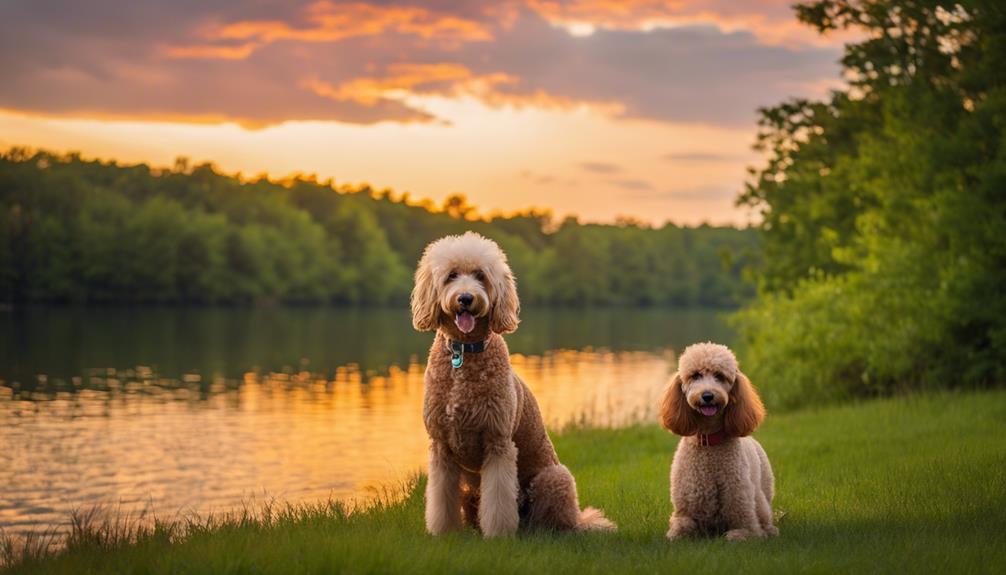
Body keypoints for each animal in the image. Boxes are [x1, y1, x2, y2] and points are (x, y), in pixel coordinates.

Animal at [408, 231, 611, 538]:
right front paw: (444, 532)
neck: (465, 352)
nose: (465, 298)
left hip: (556, 478)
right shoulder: (442, 447)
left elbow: (499, 500)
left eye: (480, 275)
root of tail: (579, 518)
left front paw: (498, 535)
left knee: (551, 520)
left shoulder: (498, 443)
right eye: (451, 275)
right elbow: (441, 498)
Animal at [659, 343, 776, 542]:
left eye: (719, 376)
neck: (708, 442)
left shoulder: (746, 518)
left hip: (762, 496)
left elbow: (741, 534)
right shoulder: (684, 513)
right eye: (695, 375)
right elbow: (679, 530)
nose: (708, 395)